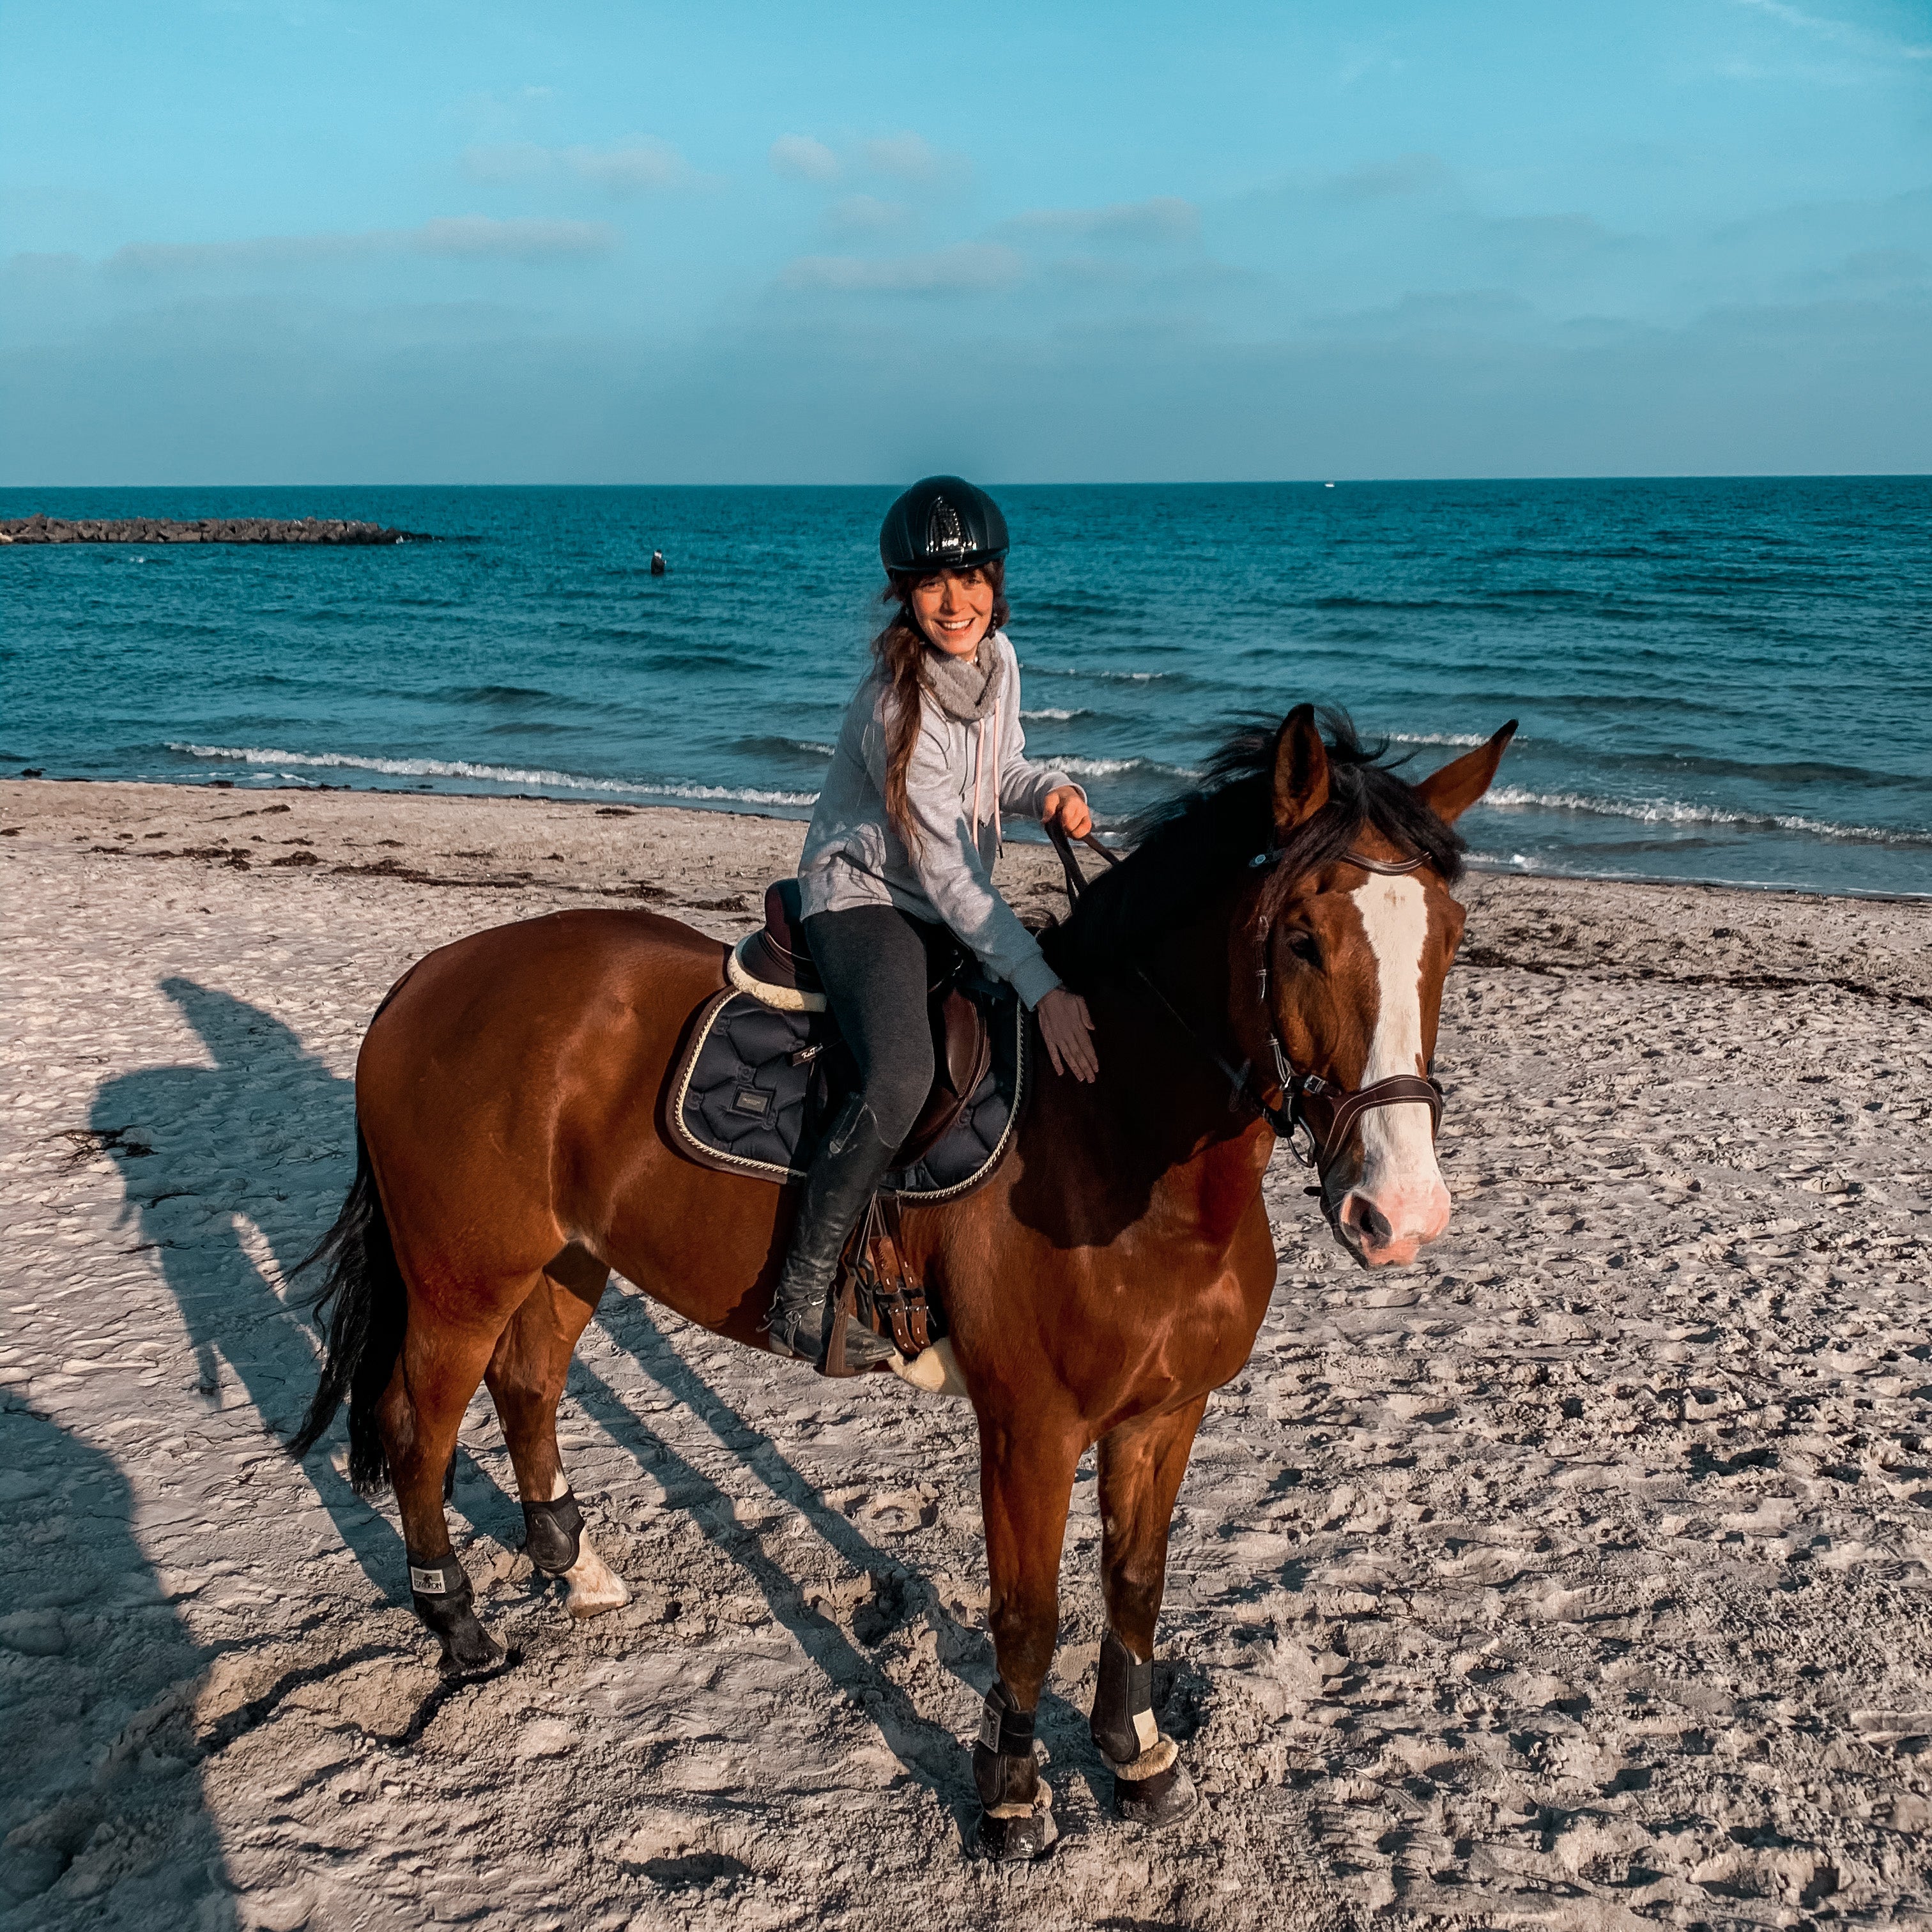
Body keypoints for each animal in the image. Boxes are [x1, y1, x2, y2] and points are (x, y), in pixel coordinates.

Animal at [289, 702, 1513, 1860]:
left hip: (571, 1256)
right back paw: (461, 1629)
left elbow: (1135, 1585)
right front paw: (1013, 1798)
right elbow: (1028, 1615)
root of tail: (427, 981)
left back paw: (575, 1568)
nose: (1400, 1214)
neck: (1118, 1138)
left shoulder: (1165, 1414)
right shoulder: (1029, 1428)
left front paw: (1136, 1758)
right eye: (1302, 938)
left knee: (530, 1387)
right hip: (461, 1280)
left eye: (1450, 938)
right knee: (422, 1430)